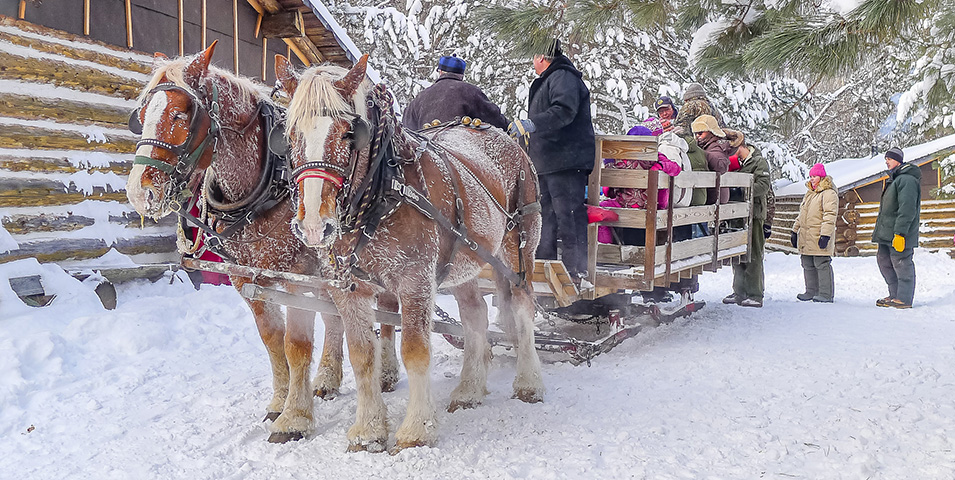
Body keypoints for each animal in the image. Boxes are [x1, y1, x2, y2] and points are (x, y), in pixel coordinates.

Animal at [123, 43, 400, 444]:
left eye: (180, 114)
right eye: (141, 115)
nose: (139, 192)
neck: (268, 181)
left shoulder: (297, 276)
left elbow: (296, 345)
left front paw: (295, 417)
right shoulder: (246, 278)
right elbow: (273, 340)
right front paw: (280, 401)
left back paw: (387, 372)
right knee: (335, 318)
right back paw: (327, 378)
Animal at [276, 54, 544, 452]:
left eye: (348, 133)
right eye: (291, 134)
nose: (313, 225)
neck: (384, 192)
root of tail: (503, 137)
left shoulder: (415, 279)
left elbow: (416, 351)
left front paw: (417, 428)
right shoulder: (349, 288)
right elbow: (362, 354)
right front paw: (368, 429)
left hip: (518, 248)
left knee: (523, 307)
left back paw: (529, 382)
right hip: (463, 261)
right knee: (475, 316)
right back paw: (469, 388)